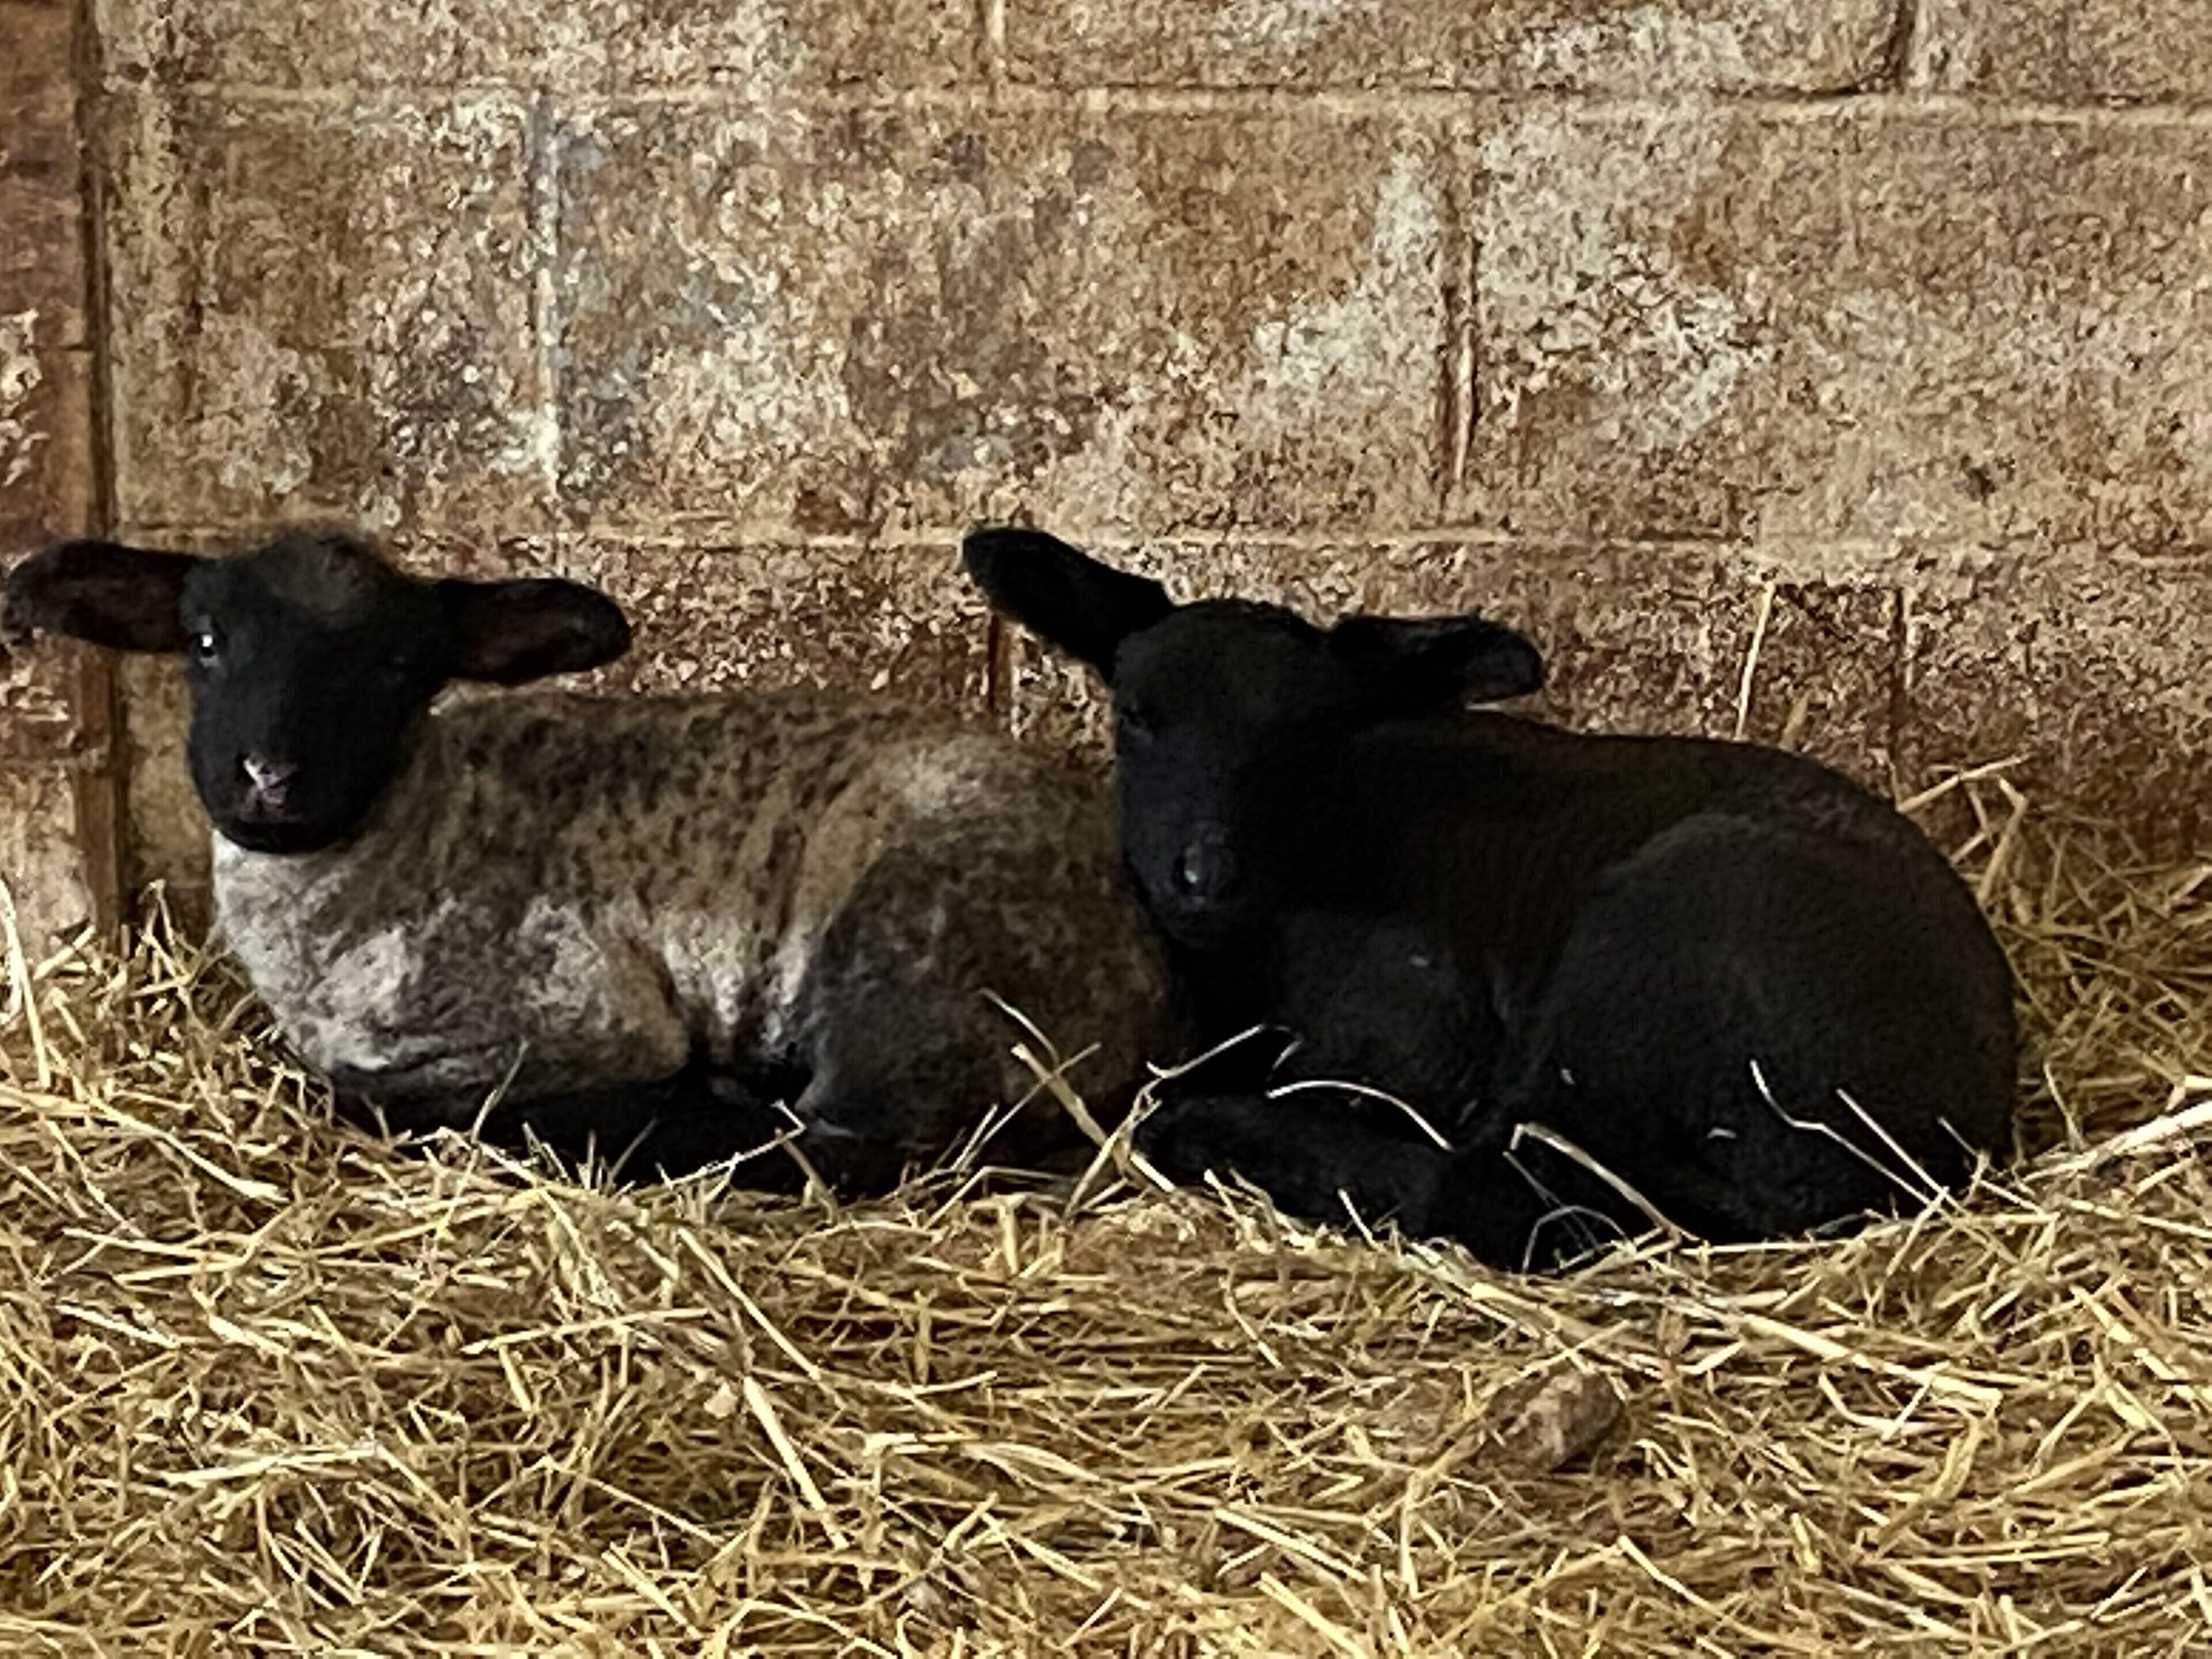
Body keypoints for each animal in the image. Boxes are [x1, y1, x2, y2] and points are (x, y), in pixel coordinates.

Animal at [3, 528, 1165, 1189]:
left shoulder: (582, 1014)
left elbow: (369, 1094)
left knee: (844, 1146)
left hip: (907, 972)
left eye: (397, 666)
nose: (269, 777)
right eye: (204, 643)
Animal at [963, 526, 2019, 1270]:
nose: (1206, 876)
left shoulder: (1413, 1029)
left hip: (1654, 951)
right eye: (1137, 715)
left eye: (1313, 741)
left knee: (1525, 1199)